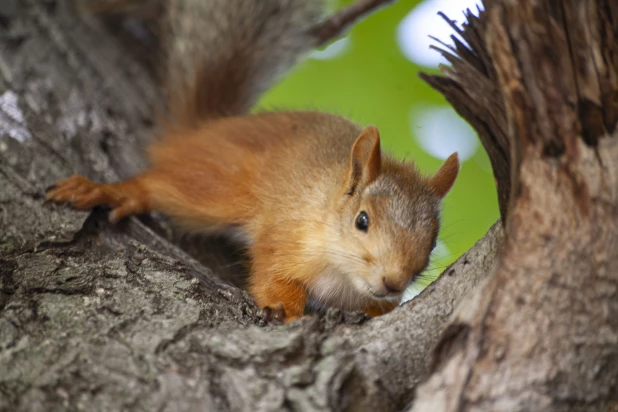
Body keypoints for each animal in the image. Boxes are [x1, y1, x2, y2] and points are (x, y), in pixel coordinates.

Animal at [48, 0, 460, 322]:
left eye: (432, 241)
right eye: (362, 221)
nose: (393, 281)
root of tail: (207, 127)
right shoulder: (284, 234)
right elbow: (273, 273)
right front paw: (284, 308)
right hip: (215, 189)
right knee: (156, 185)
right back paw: (110, 191)